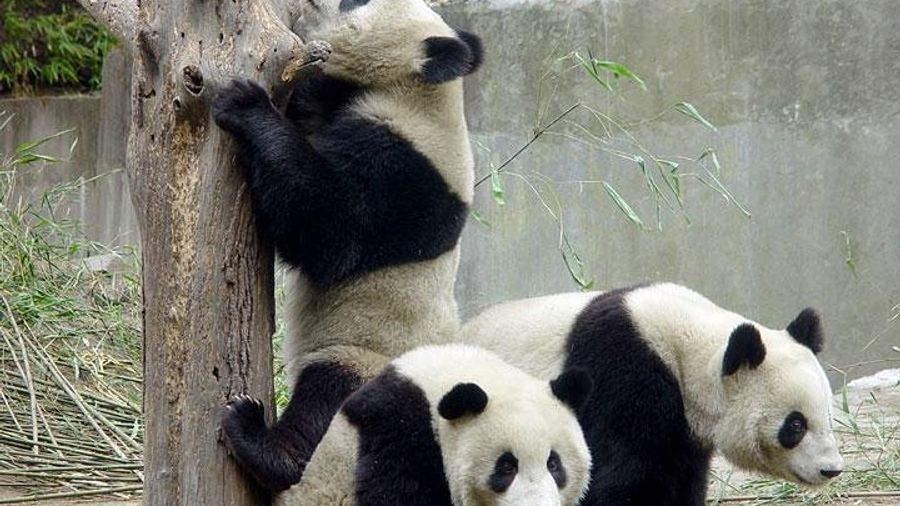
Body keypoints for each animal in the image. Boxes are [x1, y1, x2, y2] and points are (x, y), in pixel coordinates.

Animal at [212, 0, 483, 490]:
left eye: (354, 4)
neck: (419, 91)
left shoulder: (404, 169)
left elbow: (329, 231)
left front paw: (244, 103)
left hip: (367, 357)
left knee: (328, 400)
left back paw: (264, 446)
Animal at [461, 283, 845, 506]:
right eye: (795, 425)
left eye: (828, 416)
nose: (831, 470)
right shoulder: (621, 372)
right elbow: (621, 478)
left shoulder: (686, 430)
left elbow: (686, 482)